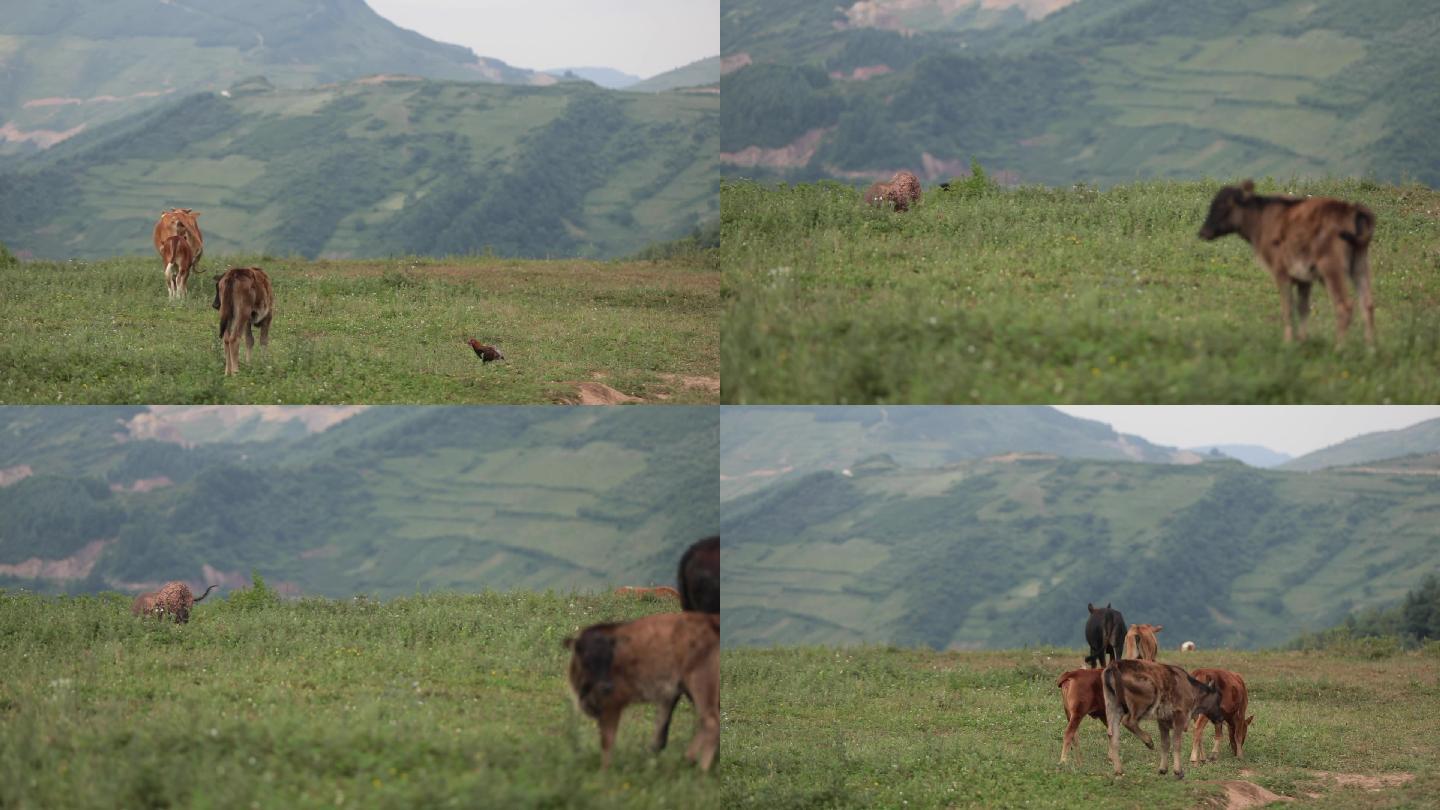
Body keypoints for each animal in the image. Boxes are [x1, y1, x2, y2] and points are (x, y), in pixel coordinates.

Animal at [561, 611, 720, 766]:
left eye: (610, 657)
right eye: (586, 658)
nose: (607, 686)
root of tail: (710, 621)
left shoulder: (612, 706)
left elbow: (607, 742)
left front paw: (605, 771)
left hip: (699, 681)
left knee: (710, 722)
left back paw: (700, 770)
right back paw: (688, 758)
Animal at [1198, 179, 1376, 343]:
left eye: (1223, 205)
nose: (1203, 232)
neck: (1261, 220)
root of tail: (1352, 209)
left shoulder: (1281, 272)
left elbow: (1287, 308)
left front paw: (1288, 343)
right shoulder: (1304, 279)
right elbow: (1303, 308)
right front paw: (1302, 341)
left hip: (1332, 269)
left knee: (1344, 306)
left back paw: (1339, 349)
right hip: (1359, 266)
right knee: (1367, 305)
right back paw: (1370, 349)